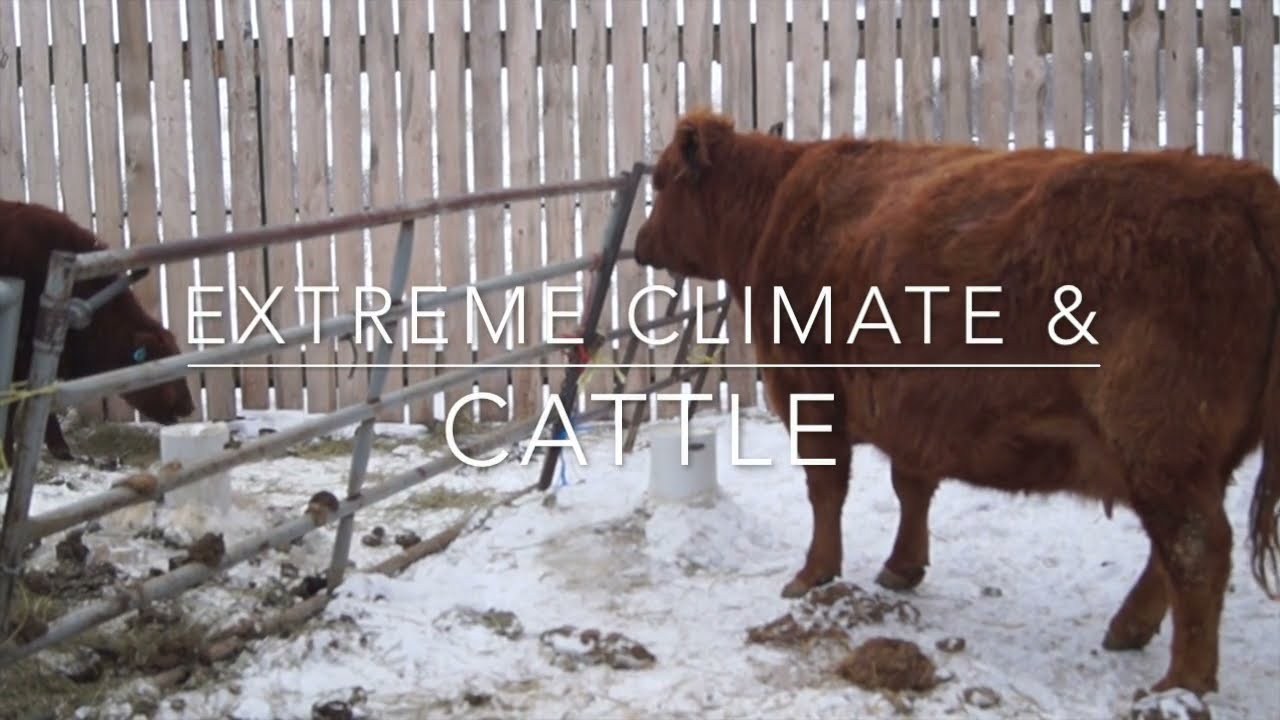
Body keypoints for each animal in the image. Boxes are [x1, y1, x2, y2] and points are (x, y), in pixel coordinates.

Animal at [632, 108, 1280, 698]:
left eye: (661, 182)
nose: (639, 244)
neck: (776, 207)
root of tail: (1241, 186)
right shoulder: (912, 404)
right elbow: (911, 487)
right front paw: (901, 567)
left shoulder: (809, 389)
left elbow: (827, 490)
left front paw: (814, 574)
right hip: (1189, 459)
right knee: (1172, 551)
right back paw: (1129, 629)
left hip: (1159, 443)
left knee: (1196, 549)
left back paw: (1183, 683)